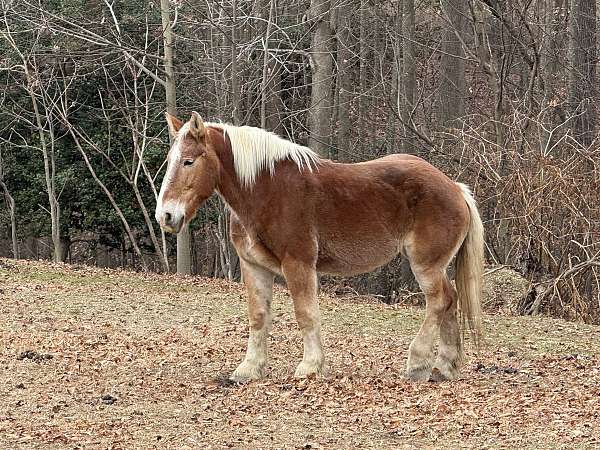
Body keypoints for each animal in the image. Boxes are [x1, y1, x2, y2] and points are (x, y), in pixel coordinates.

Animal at [155, 112, 482, 384]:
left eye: (189, 161)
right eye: (170, 160)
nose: (165, 216)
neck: (266, 191)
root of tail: (455, 188)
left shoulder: (297, 263)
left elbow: (305, 314)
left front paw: (310, 366)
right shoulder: (253, 266)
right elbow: (258, 316)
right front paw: (249, 369)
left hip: (425, 265)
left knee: (439, 301)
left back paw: (417, 364)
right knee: (450, 300)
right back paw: (444, 368)